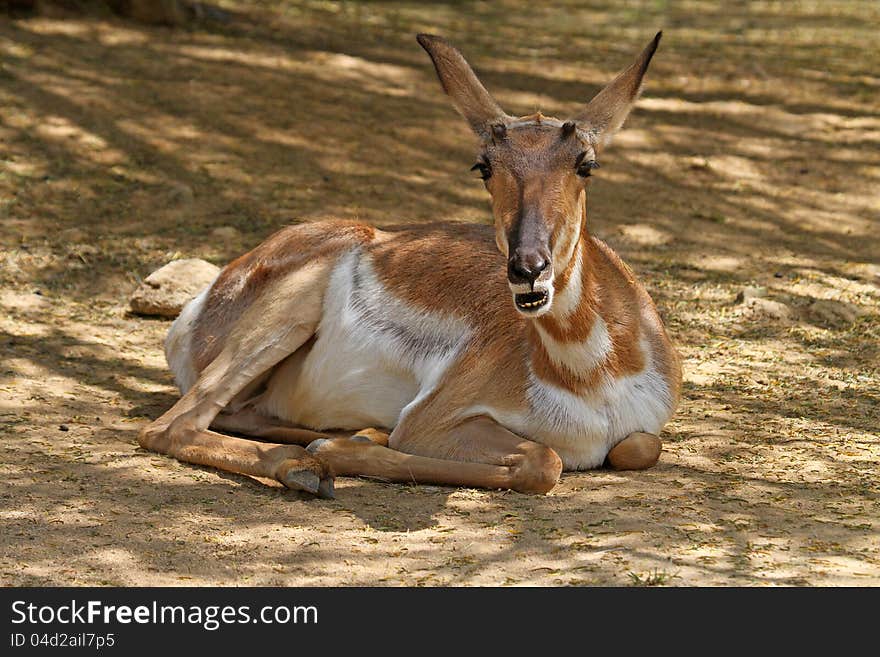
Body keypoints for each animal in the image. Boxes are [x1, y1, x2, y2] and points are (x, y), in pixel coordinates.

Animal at [141, 32, 684, 498]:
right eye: (483, 166)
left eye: (584, 163)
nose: (528, 268)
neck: (592, 376)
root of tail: (201, 304)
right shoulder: (431, 420)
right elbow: (542, 461)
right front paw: (338, 451)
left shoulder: (641, 432)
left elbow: (639, 447)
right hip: (283, 316)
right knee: (170, 427)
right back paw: (308, 465)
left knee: (237, 415)